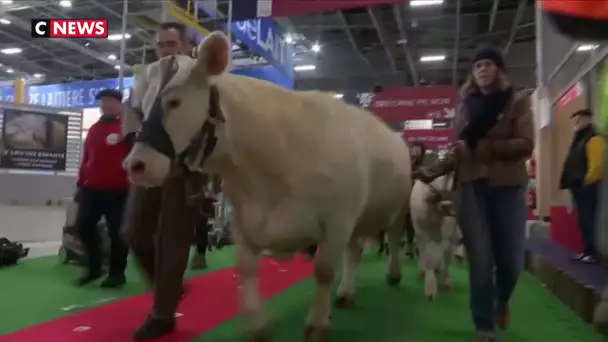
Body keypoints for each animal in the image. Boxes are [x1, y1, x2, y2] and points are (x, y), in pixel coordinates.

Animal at [123, 31, 410, 340]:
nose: (134, 165)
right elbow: (247, 268)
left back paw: (393, 274)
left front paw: (317, 324)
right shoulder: (243, 218)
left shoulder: (338, 220)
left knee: (392, 240)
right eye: (142, 107)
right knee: (354, 253)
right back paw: (346, 292)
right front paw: (258, 325)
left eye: (174, 102)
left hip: (397, 209)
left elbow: (323, 270)